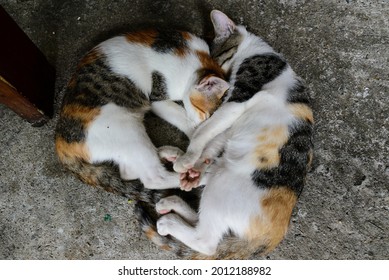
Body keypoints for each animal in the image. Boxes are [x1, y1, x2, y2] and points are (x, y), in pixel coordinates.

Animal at [54, 27, 227, 197]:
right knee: (153, 178)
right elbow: (182, 117)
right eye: (204, 114)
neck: (193, 55)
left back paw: (168, 153)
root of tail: (61, 145)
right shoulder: (157, 99)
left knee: (128, 172)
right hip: (127, 132)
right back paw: (207, 176)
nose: (201, 122)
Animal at [136, 10, 312, 260]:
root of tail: (273, 235)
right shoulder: (231, 117)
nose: (222, 82)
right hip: (218, 177)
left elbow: (204, 130)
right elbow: (213, 135)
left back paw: (169, 220)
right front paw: (194, 164)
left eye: (217, 59)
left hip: (221, 186)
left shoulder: (238, 100)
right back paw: (176, 191)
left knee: (207, 241)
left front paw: (187, 159)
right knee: (203, 220)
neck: (259, 51)